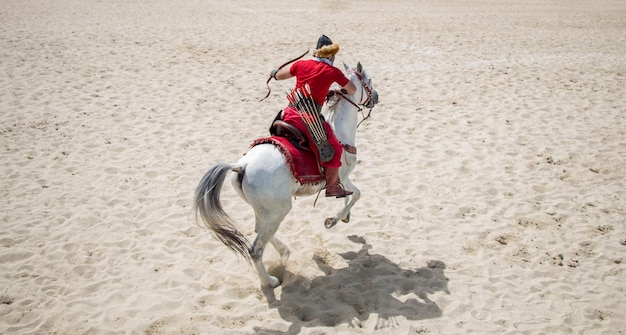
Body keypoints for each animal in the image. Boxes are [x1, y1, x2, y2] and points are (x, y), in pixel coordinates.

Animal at [191, 62, 376, 288]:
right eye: (368, 83)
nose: (376, 97)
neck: (338, 130)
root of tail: (241, 166)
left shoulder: (343, 179)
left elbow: (350, 194)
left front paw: (344, 216)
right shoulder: (342, 176)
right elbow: (356, 194)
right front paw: (334, 219)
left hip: (265, 210)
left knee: (258, 229)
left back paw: (284, 252)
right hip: (277, 211)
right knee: (255, 249)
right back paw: (270, 281)